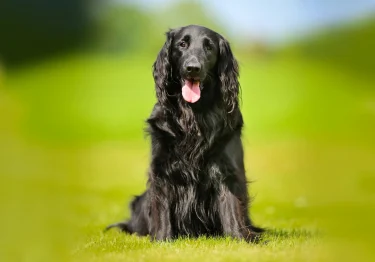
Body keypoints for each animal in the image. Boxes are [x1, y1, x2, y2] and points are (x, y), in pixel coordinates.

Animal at [107, 24, 262, 242]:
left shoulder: (227, 169)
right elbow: (162, 209)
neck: (193, 117)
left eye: (209, 47)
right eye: (182, 44)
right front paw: (162, 240)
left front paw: (240, 238)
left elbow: (231, 207)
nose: (192, 68)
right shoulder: (161, 168)